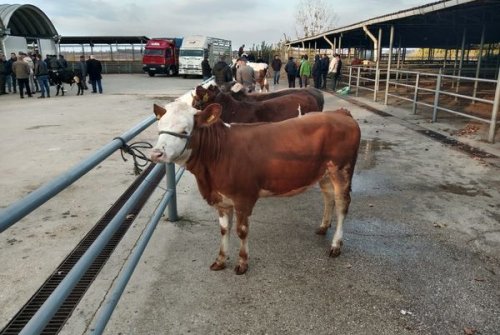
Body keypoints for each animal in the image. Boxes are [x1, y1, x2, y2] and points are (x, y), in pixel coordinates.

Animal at [150, 100, 362, 276]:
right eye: (159, 127)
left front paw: (242, 263)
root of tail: (340, 113)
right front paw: (220, 260)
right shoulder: (221, 199)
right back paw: (323, 227)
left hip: (342, 170)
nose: (156, 154)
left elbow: (241, 231)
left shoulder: (243, 198)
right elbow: (224, 230)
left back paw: (336, 245)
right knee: (328, 197)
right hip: (324, 173)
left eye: (185, 131)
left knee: (342, 204)